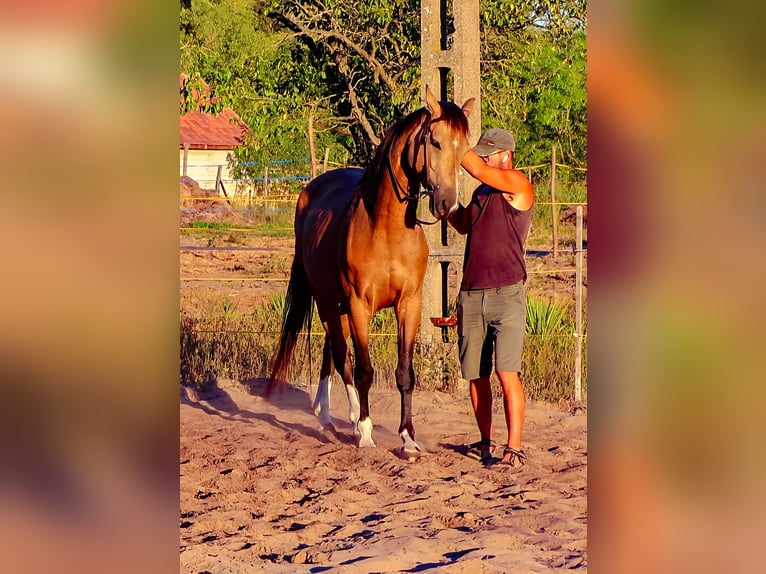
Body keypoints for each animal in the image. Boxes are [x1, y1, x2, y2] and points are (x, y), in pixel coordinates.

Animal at [268, 86, 475, 456]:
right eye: (435, 142)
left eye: (464, 149)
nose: (447, 205)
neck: (387, 229)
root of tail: (313, 187)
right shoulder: (359, 306)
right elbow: (363, 369)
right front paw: (365, 433)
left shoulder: (409, 305)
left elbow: (405, 373)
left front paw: (407, 438)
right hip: (328, 302)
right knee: (341, 357)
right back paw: (344, 418)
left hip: (336, 306)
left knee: (331, 352)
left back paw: (328, 414)